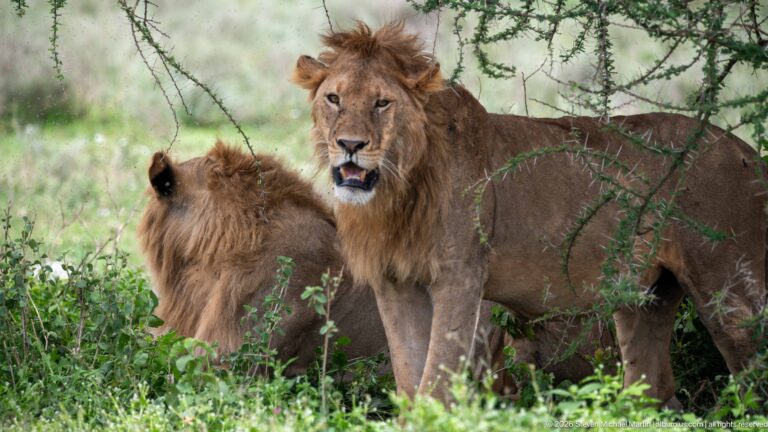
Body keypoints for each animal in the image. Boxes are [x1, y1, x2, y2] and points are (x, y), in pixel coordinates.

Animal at [293, 22, 767, 405]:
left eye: (382, 103)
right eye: (334, 98)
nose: (350, 145)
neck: (397, 189)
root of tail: (746, 152)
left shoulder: (460, 276)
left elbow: (437, 376)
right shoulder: (394, 282)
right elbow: (409, 377)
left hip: (731, 291)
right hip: (646, 298)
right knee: (653, 390)